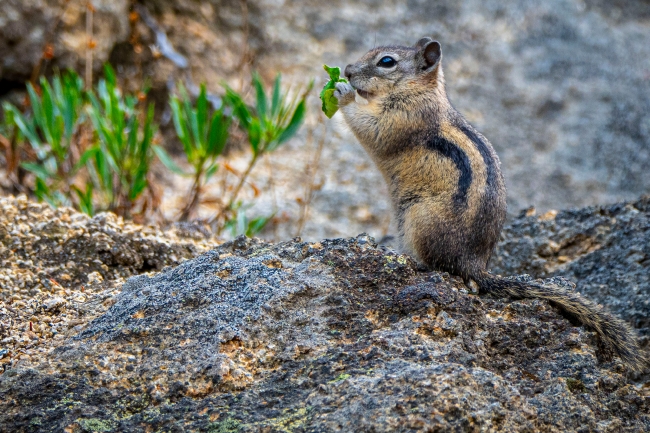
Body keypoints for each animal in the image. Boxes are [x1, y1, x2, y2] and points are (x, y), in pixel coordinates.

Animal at [334, 37, 644, 370]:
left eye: (387, 62)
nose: (348, 70)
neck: (419, 91)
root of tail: (475, 265)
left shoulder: (403, 119)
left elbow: (372, 128)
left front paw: (342, 92)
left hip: (419, 218)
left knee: (440, 267)